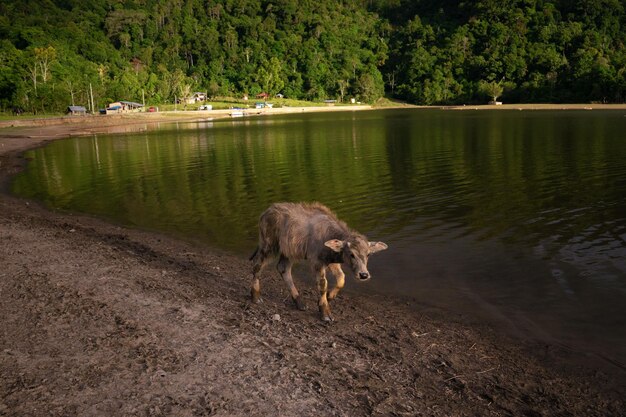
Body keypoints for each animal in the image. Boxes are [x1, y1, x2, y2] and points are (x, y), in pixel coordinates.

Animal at [249, 203, 386, 320]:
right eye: (351, 254)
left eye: (368, 254)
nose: (363, 275)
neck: (327, 236)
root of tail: (266, 212)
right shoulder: (317, 262)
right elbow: (323, 285)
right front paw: (325, 312)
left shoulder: (331, 262)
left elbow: (341, 278)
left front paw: (329, 297)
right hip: (268, 246)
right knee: (257, 265)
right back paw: (256, 297)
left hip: (288, 252)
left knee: (283, 268)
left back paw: (300, 303)